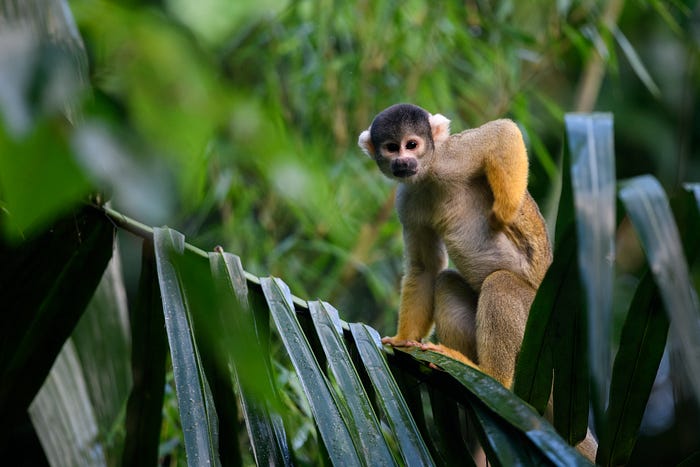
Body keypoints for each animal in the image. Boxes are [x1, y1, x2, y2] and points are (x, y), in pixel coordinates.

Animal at [358, 104, 598, 461]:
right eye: (391, 147)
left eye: (412, 145)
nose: (402, 162)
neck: (427, 174)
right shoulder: (406, 198)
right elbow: (425, 268)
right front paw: (403, 339)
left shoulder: (451, 156)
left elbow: (502, 133)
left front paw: (507, 211)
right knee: (445, 282)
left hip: (542, 329)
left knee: (500, 284)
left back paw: (489, 377)